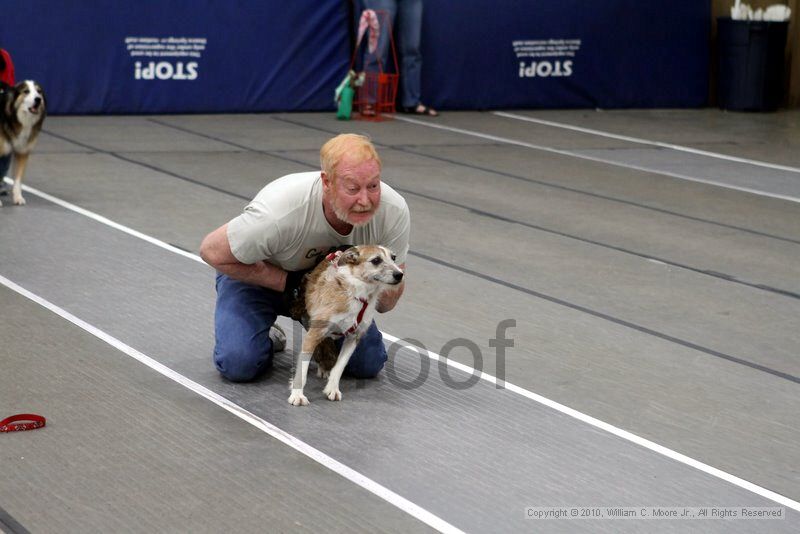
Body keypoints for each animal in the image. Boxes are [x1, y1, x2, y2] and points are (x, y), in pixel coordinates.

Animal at [288, 246, 404, 406]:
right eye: (376, 260)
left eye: (393, 258)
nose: (399, 274)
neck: (359, 295)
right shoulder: (314, 334)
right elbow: (302, 369)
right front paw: (297, 394)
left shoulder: (353, 337)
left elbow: (340, 366)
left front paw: (332, 389)